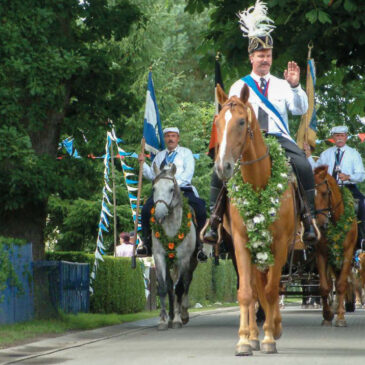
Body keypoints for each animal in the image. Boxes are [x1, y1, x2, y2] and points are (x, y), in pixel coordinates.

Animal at [150, 164, 198, 328]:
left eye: (171, 189)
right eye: (154, 188)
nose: (159, 213)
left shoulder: (183, 259)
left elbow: (180, 288)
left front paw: (177, 319)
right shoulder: (159, 257)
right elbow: (163, 287)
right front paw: (163, 320)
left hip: (191, 262)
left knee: (186, 283)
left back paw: (182, 314)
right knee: (171, 285)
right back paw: (171, 315)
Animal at [215, 84, 298, 354]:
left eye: (241, 121)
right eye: (217, 122)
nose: (222, 167)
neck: (259, 184)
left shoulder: (280, 243)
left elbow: (272, 291)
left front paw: (270, 336)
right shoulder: (241, 242)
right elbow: (246, 292)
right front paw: (243, 341)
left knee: (269, 286)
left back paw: (271, 329)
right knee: (254, 287)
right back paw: (252, 335)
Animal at [312, 166, 356, 326]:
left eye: (325, 193)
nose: (319, 224)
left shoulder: (348, 253)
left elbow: (342, 284)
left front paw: (341, 318)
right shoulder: (321, 253)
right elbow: (325, 287)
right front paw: (327, 316)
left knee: (342, 282)